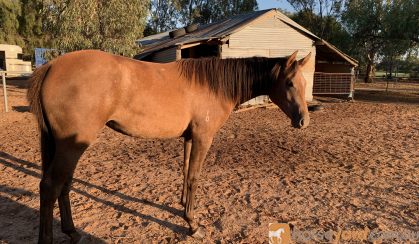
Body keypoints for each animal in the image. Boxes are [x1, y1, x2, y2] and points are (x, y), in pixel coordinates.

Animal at [27, 49, 312, 242]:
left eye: (304, 83)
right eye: (289, 83)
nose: (303, 121)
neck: (213, 85)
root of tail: (51, 66)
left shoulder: (189, 138)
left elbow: (185, 172)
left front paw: (182, 205)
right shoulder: (203, 138)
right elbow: (194, 176)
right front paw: (192, 224)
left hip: (63, 144)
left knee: (63, 186)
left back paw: (72, 231)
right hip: (72, 146)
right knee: (51, 187)